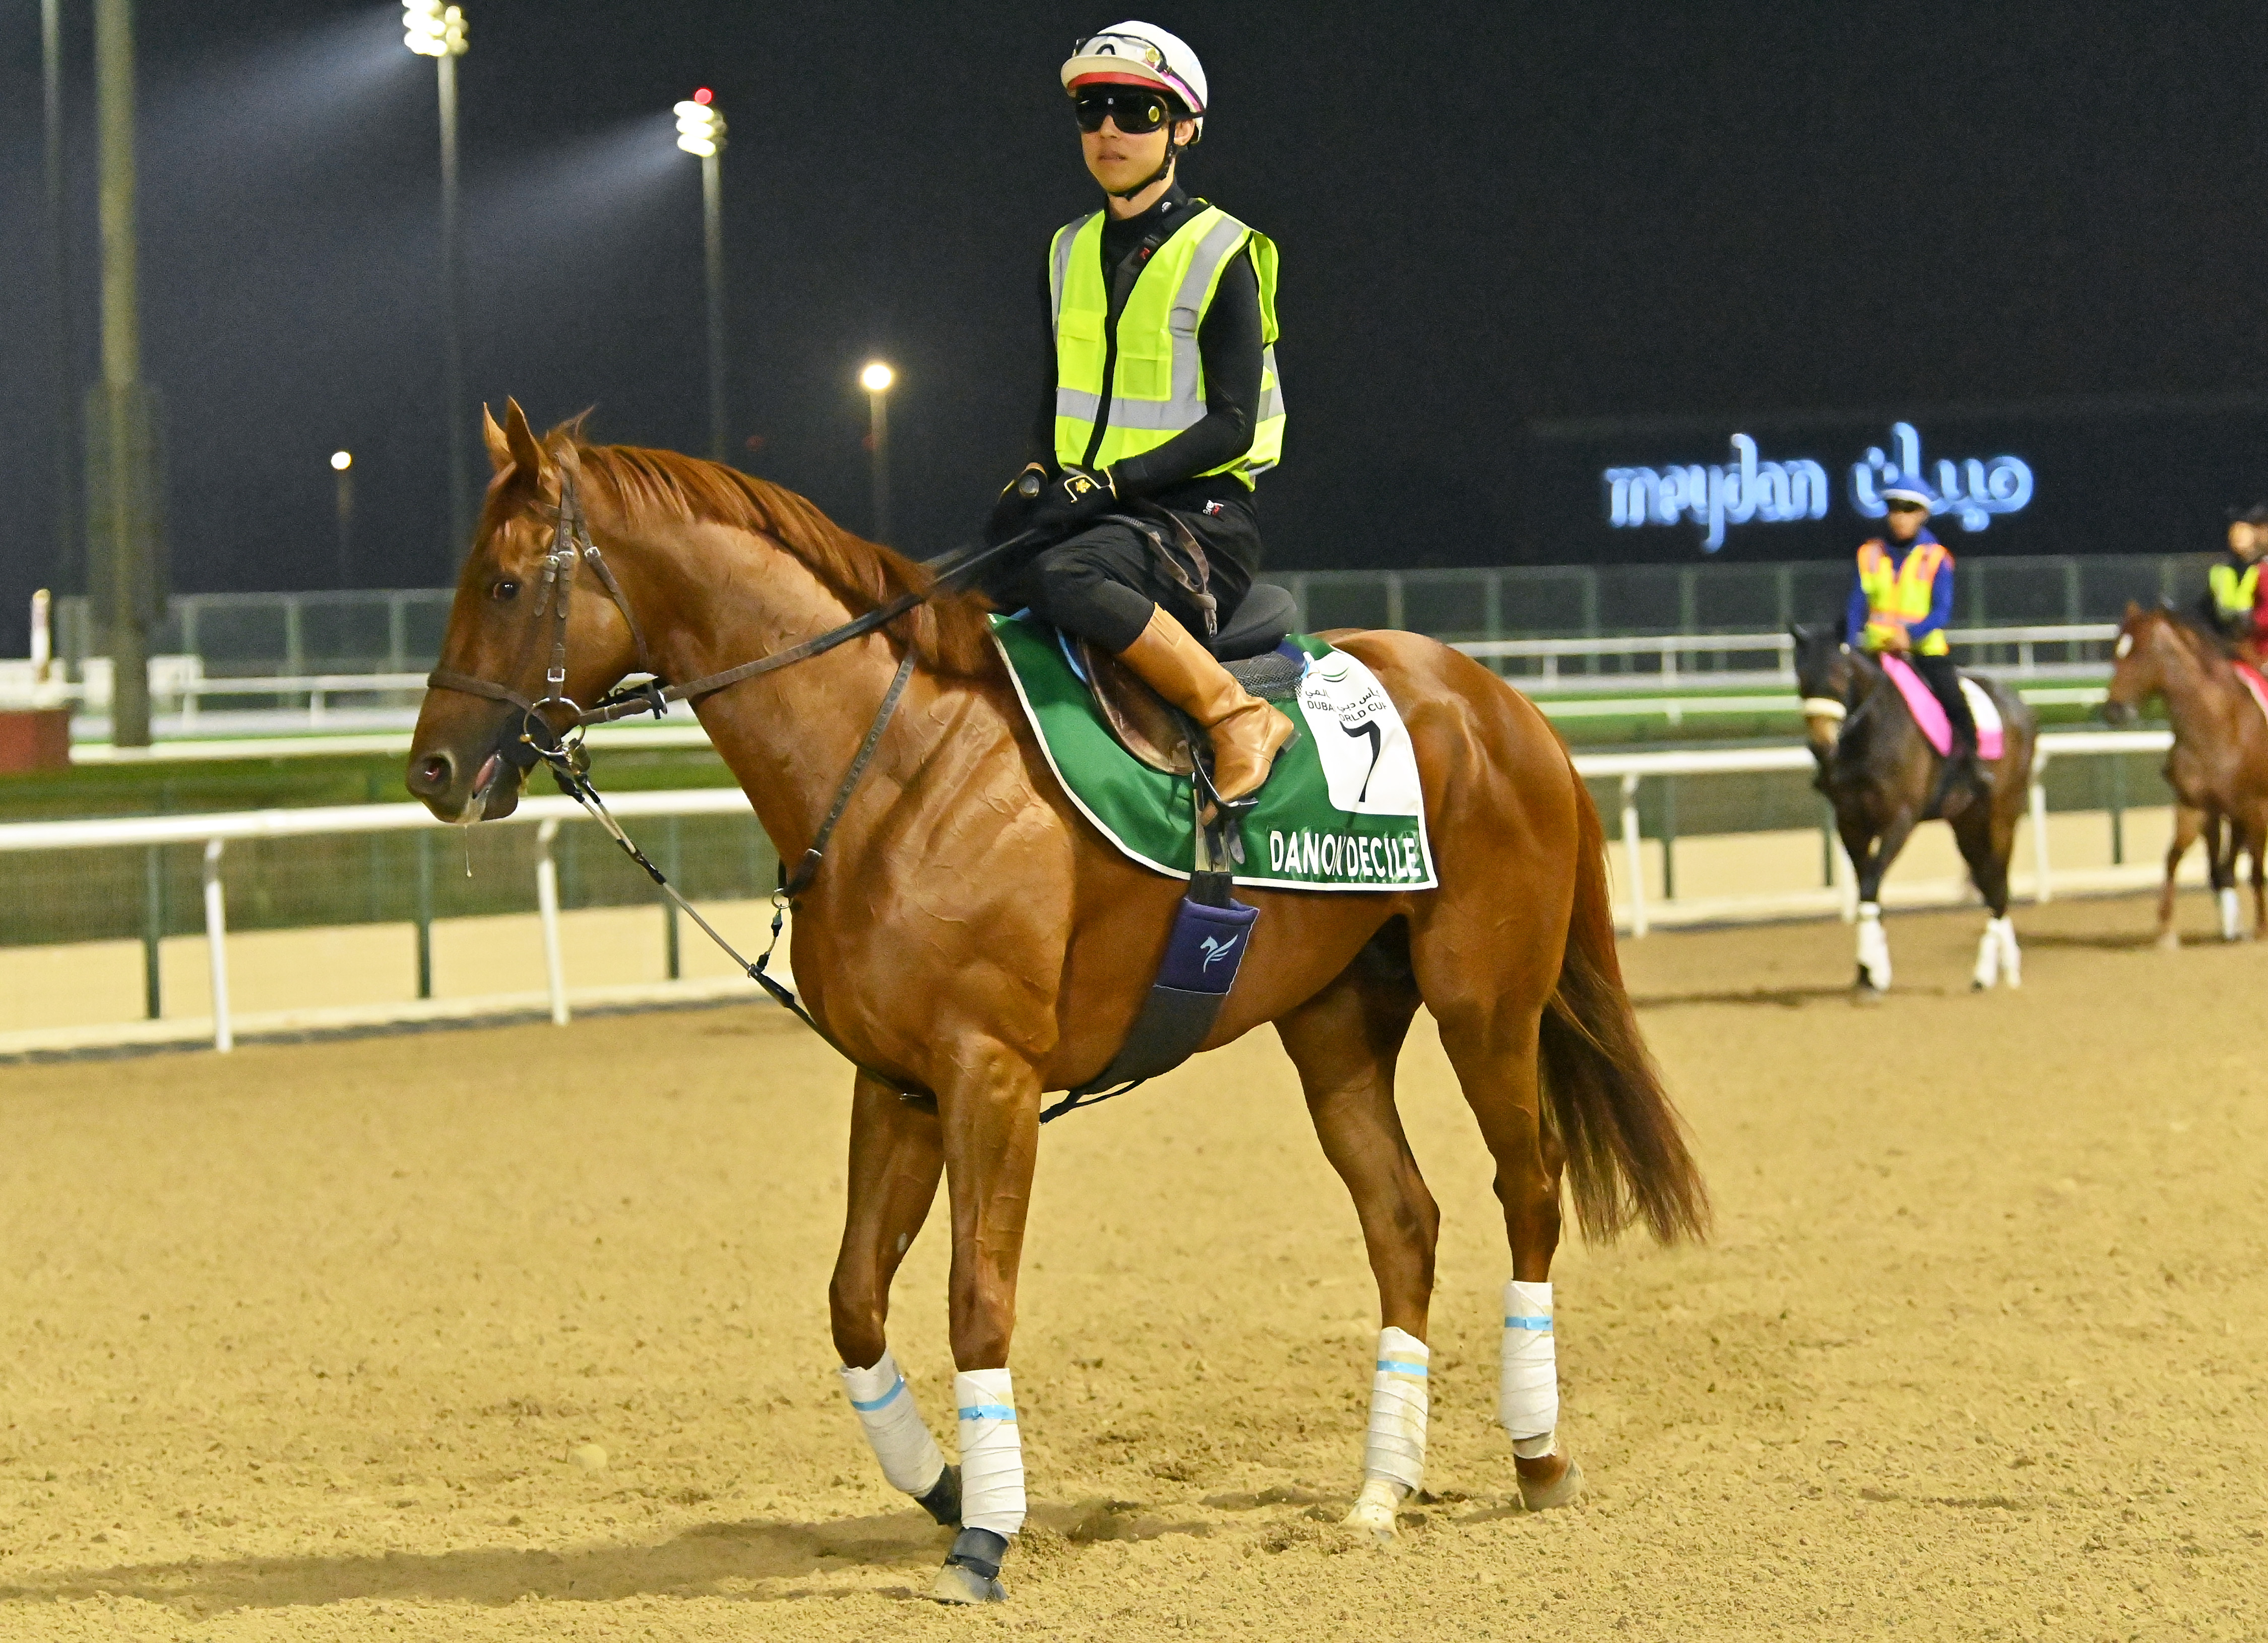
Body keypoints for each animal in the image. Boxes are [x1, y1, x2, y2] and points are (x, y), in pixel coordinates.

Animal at [406, 402, 1708, 1602]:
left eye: (504, 581)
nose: (430, 769)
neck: (897, 758)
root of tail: (1503, 703)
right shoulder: (897, 1080)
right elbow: (854, 1301)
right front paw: (942, 1483)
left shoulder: (991, 1075)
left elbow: (975, 1297)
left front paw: (985, 1534)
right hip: (1335, 1022)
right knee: (1404, 1220)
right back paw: (1381, 1487)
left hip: (1485, 1001)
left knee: (1526, 1188)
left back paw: (1536, 1454)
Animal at [1790, 623, 2036, 993]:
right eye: (1802, 677)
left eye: (1839, 673)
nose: (1821, 746)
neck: (1871, 732)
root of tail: (2020, 705)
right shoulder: (1851, 823)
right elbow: (1868, 887)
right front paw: (1869, 974)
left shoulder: (1900, 819)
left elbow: (1870, 883)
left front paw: (1873, 971)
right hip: (1966, 822)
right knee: (1988, 880)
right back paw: (1998, 970)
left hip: (2002, 813)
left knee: (1999, 880)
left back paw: (1994, 971)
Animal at [2100, 602, 2268, 946]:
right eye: (2116, 650)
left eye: (2139, 652)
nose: (2114, 711)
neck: (2218, 724)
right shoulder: (2195, 804)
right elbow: (2173, 855)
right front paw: (2165, 929)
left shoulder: (2257, 805)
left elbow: (2257, 868)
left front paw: (2261, 928)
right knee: (2225, 860)